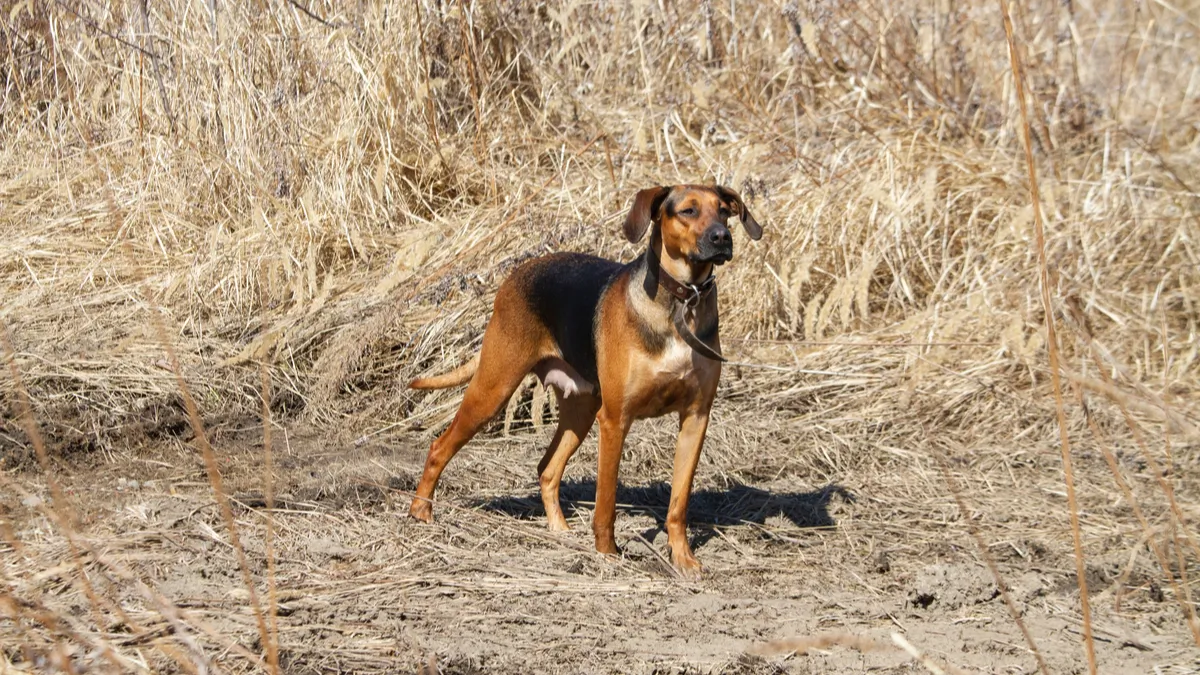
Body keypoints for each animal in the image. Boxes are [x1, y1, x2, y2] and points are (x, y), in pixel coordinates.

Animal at [403, 183, 758, 571]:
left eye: (724, 210)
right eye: (688, 211)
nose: (722, 237)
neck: (681, 302)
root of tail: (517, 273)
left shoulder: (696, 418)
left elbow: (678, 504)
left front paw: (683, 559)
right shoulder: (615, 420)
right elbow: (606, 501)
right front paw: (608, 555)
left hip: (581, 410)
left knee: (547, 469)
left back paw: (559, 530)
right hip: (493, 390)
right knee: (439, 447)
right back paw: (421, 512)